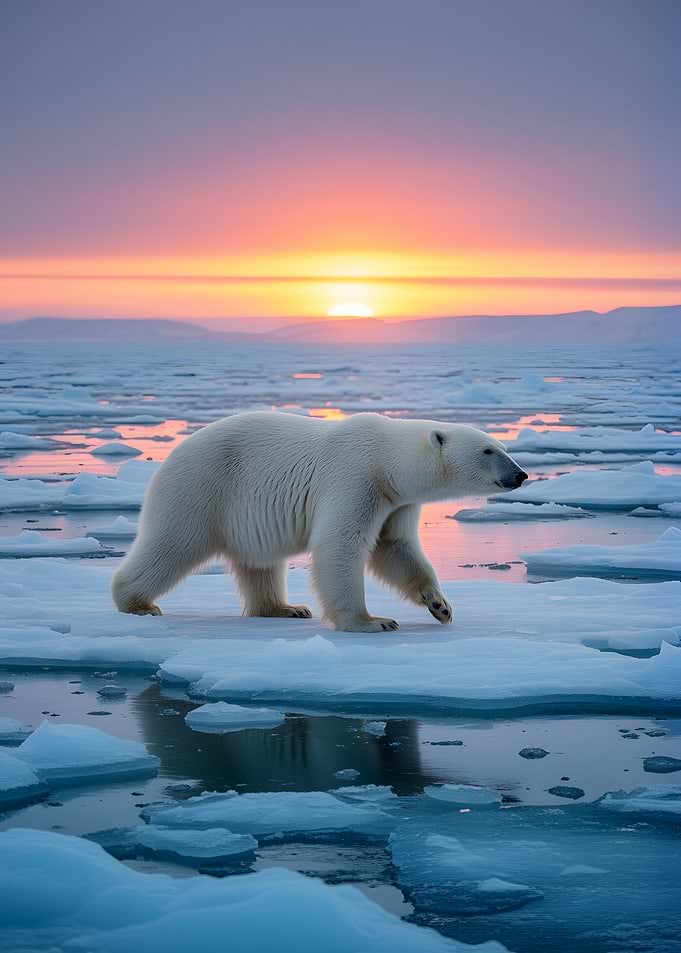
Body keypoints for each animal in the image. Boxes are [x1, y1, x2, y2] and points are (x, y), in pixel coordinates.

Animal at [111, 411, 527, 632]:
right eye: (488, 450)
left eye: (504, 447)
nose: (520, 474)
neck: (386, 460)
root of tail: (170, 457)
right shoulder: (355, 477)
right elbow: (340, 545)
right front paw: (372, 621)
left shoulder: (395, 501)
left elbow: (395, 548)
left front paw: (440, 606)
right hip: (202, 487)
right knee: (173, 544)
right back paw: (137, 603)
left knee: (260, 563)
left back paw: (285, 608)